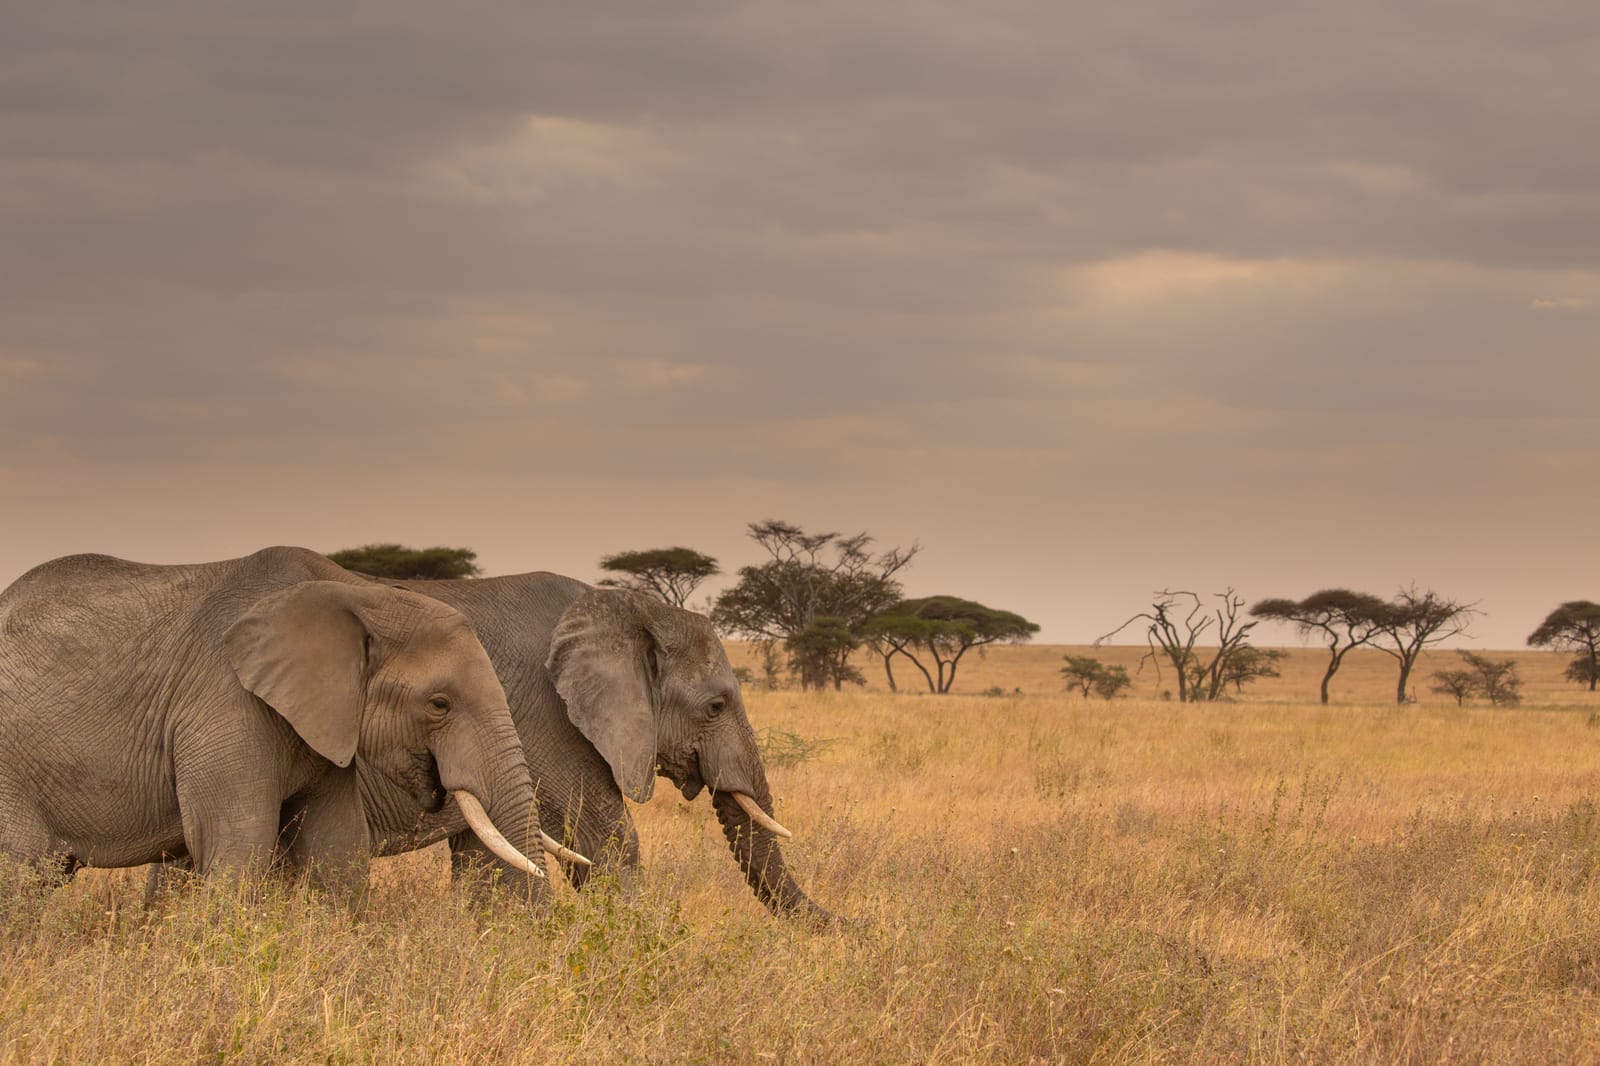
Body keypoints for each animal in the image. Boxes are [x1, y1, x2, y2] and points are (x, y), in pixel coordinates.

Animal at [0, 546, 548, 897]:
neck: (360, 594)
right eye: (439, 704)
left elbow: (336, 847)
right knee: (19, 873)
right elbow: (236, 845)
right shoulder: (223, 701)